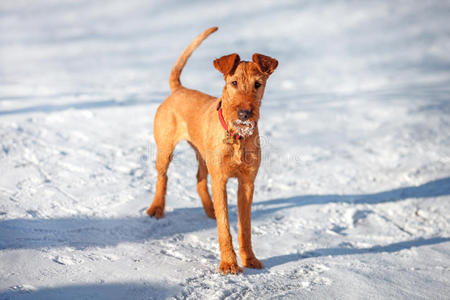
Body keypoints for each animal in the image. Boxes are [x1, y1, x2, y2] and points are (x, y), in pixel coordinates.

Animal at [147, 26, 278, 274]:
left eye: (258, 84)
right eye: (233, 82)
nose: (244, 114)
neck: (237, 137)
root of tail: (178, 89)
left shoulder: (247, 182)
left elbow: (245, 227)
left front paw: (250, 259)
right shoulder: (221, 180)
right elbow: (225, 227)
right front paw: (229, 263)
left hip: (203, 155)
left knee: (199, 178)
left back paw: (210, 210)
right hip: (165, 148)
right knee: (162, 176)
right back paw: (156, 208)